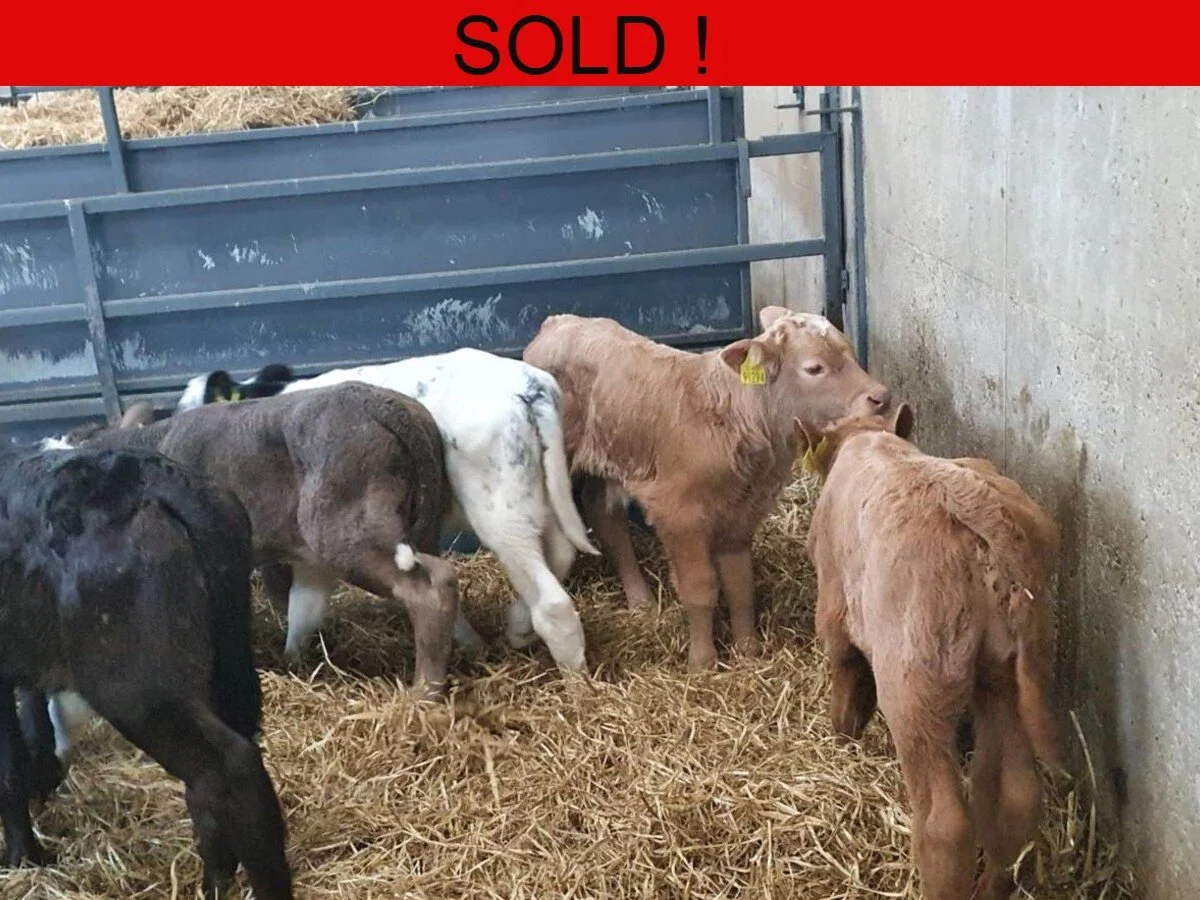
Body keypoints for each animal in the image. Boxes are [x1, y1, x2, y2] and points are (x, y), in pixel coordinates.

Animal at [0, 444, 293, 899]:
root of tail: (161, 478)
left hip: (136, 688)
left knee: (232, 767)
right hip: (218, 662)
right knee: (212, 778)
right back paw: (212, 882)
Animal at [178, 348, 602, 674]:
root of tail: (527, 385)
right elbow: (305, 608)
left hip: (498, 511)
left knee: (553, 601)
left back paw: (574, 680)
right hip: (535, 493)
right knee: (561, 553)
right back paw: (517, 626)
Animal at [520, 305, 892, 670]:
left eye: (849, 352)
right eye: (814, 368)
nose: (881, 398)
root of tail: (557, 322)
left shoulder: (742, 512)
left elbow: (740, 583)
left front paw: (748, 649)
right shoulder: (679, 514)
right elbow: (701, 588)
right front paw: (702, 662)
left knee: (604, 513)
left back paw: (640, 599)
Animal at [799, 404, 1063, 900]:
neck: (869, 439)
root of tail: (974, 506)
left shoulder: (833, 606)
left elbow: (844, 673)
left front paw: (843, 734)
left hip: (917, 688)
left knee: (945, 825)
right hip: (1007, 675)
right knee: (1013, 793)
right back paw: (992, 887)